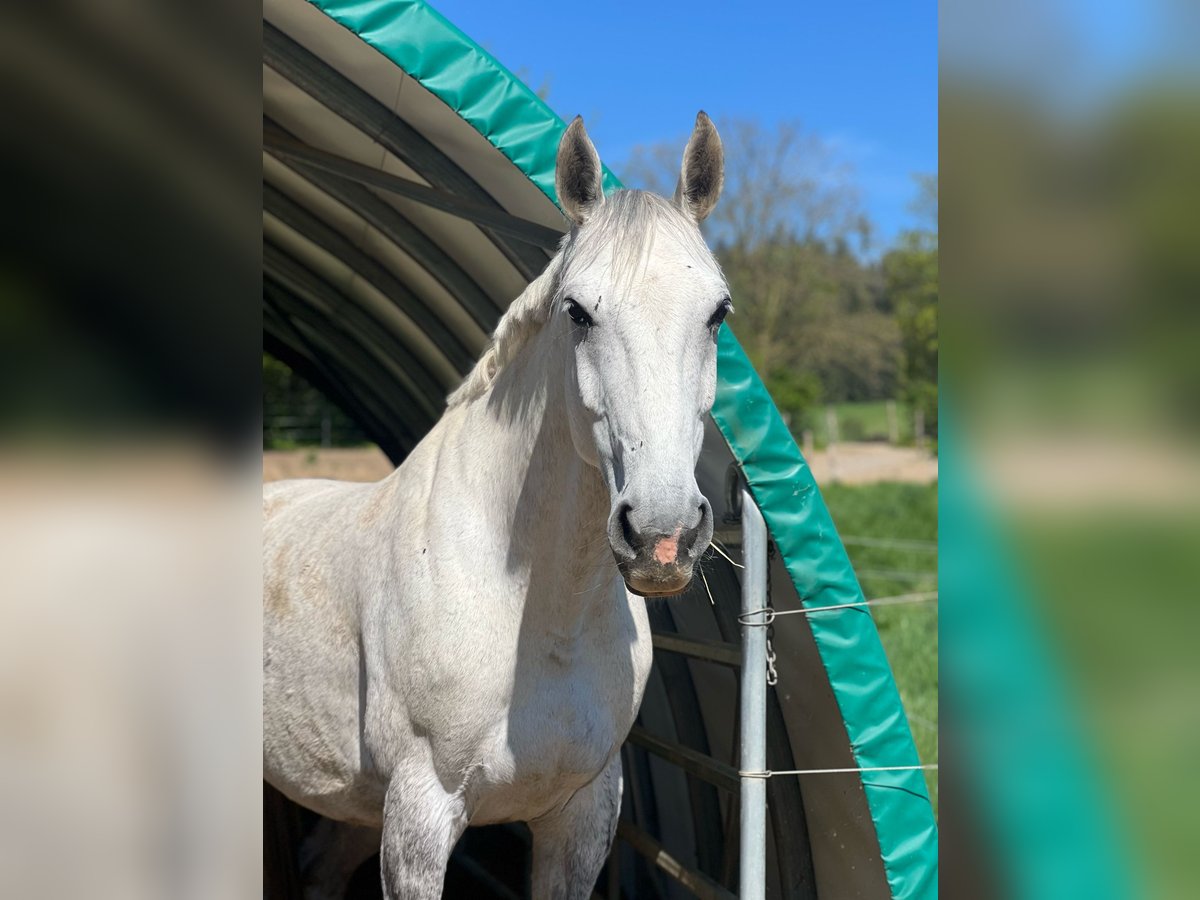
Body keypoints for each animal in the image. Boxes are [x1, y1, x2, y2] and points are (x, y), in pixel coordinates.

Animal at [264, 112, 728, 899]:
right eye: (578, 312)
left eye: (718, 313)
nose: (662, 537)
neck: (537, 617)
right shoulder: (419, 816)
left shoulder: (580, 818)